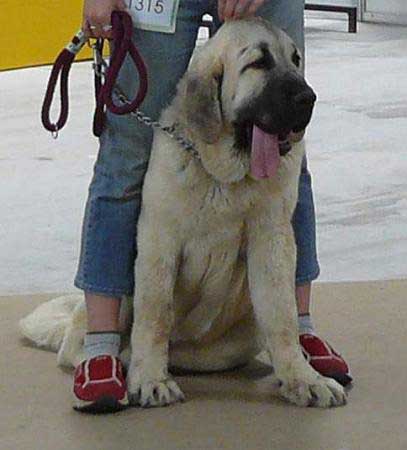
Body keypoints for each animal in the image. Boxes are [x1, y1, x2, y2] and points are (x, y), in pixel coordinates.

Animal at [20, 19, 348, 410]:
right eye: (259, 63)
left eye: (295, 60)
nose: (307, 98)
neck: (223, 176)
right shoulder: (158, 242)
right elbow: (155, 312)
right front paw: (150, 379)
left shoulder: (273, 240)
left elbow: (283, 313)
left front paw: (302, 378)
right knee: (80, 340)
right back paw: (111, 364)